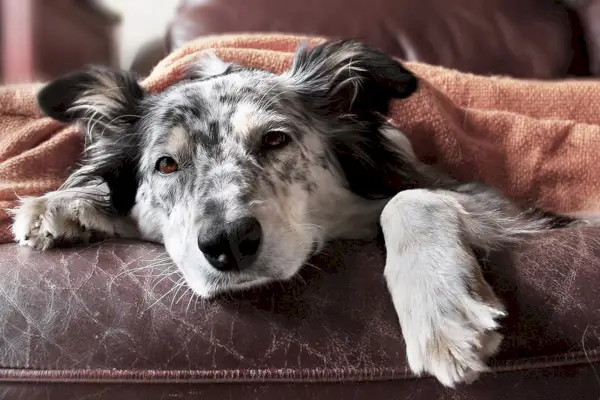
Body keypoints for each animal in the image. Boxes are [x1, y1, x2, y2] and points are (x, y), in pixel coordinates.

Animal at [10, 40, 592, 388]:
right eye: (167, 165)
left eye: (274, 140)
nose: (229, 243)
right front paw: (62, 204)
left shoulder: (490, 199)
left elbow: (409, 199)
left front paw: (441, 312)